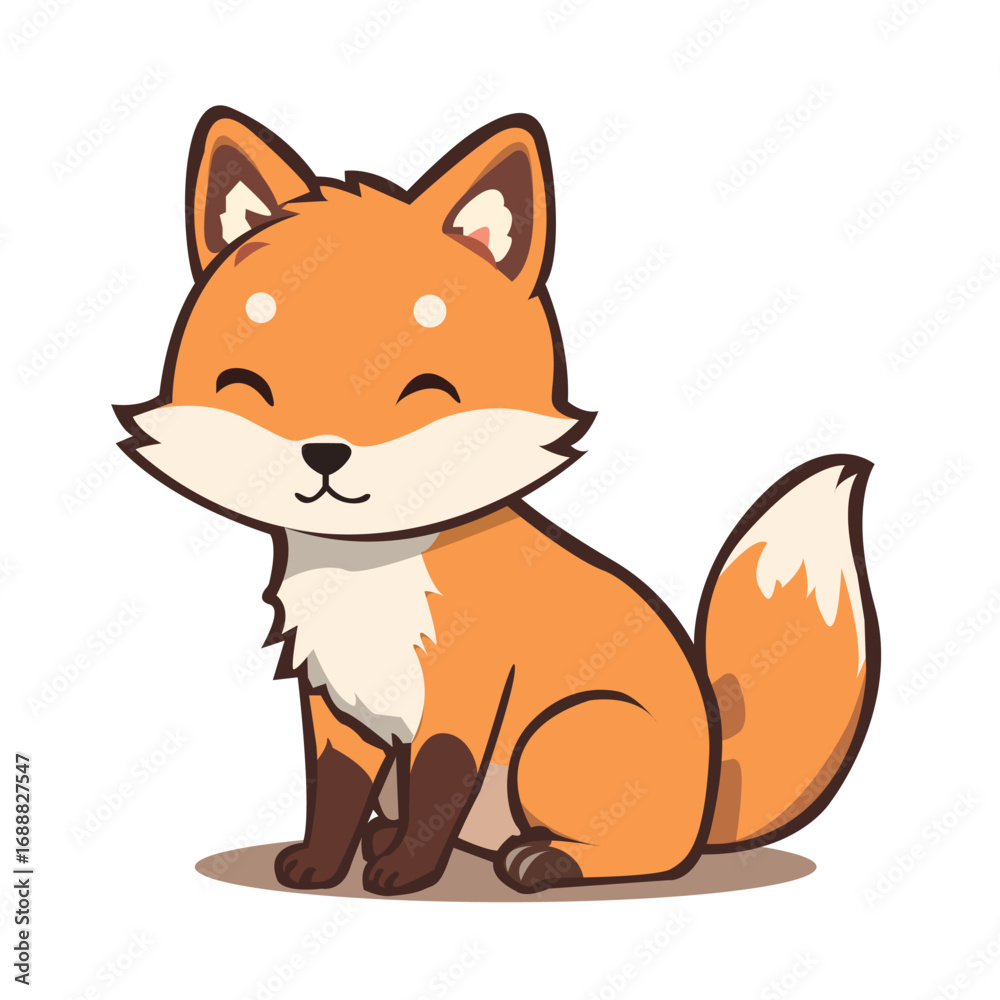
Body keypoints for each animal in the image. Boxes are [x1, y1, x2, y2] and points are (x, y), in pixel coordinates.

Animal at [116, 107, 880, 896]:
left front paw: (405, 873)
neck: (368, 572)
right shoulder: (335, 702)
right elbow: (334, 791)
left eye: (424, 391)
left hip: (559, 737)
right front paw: (321, 865)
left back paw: (542, 860)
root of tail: (709, 804)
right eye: (250, 386)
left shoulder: (464, 695)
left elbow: (438, 784)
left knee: (646, 857)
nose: (325, 454)